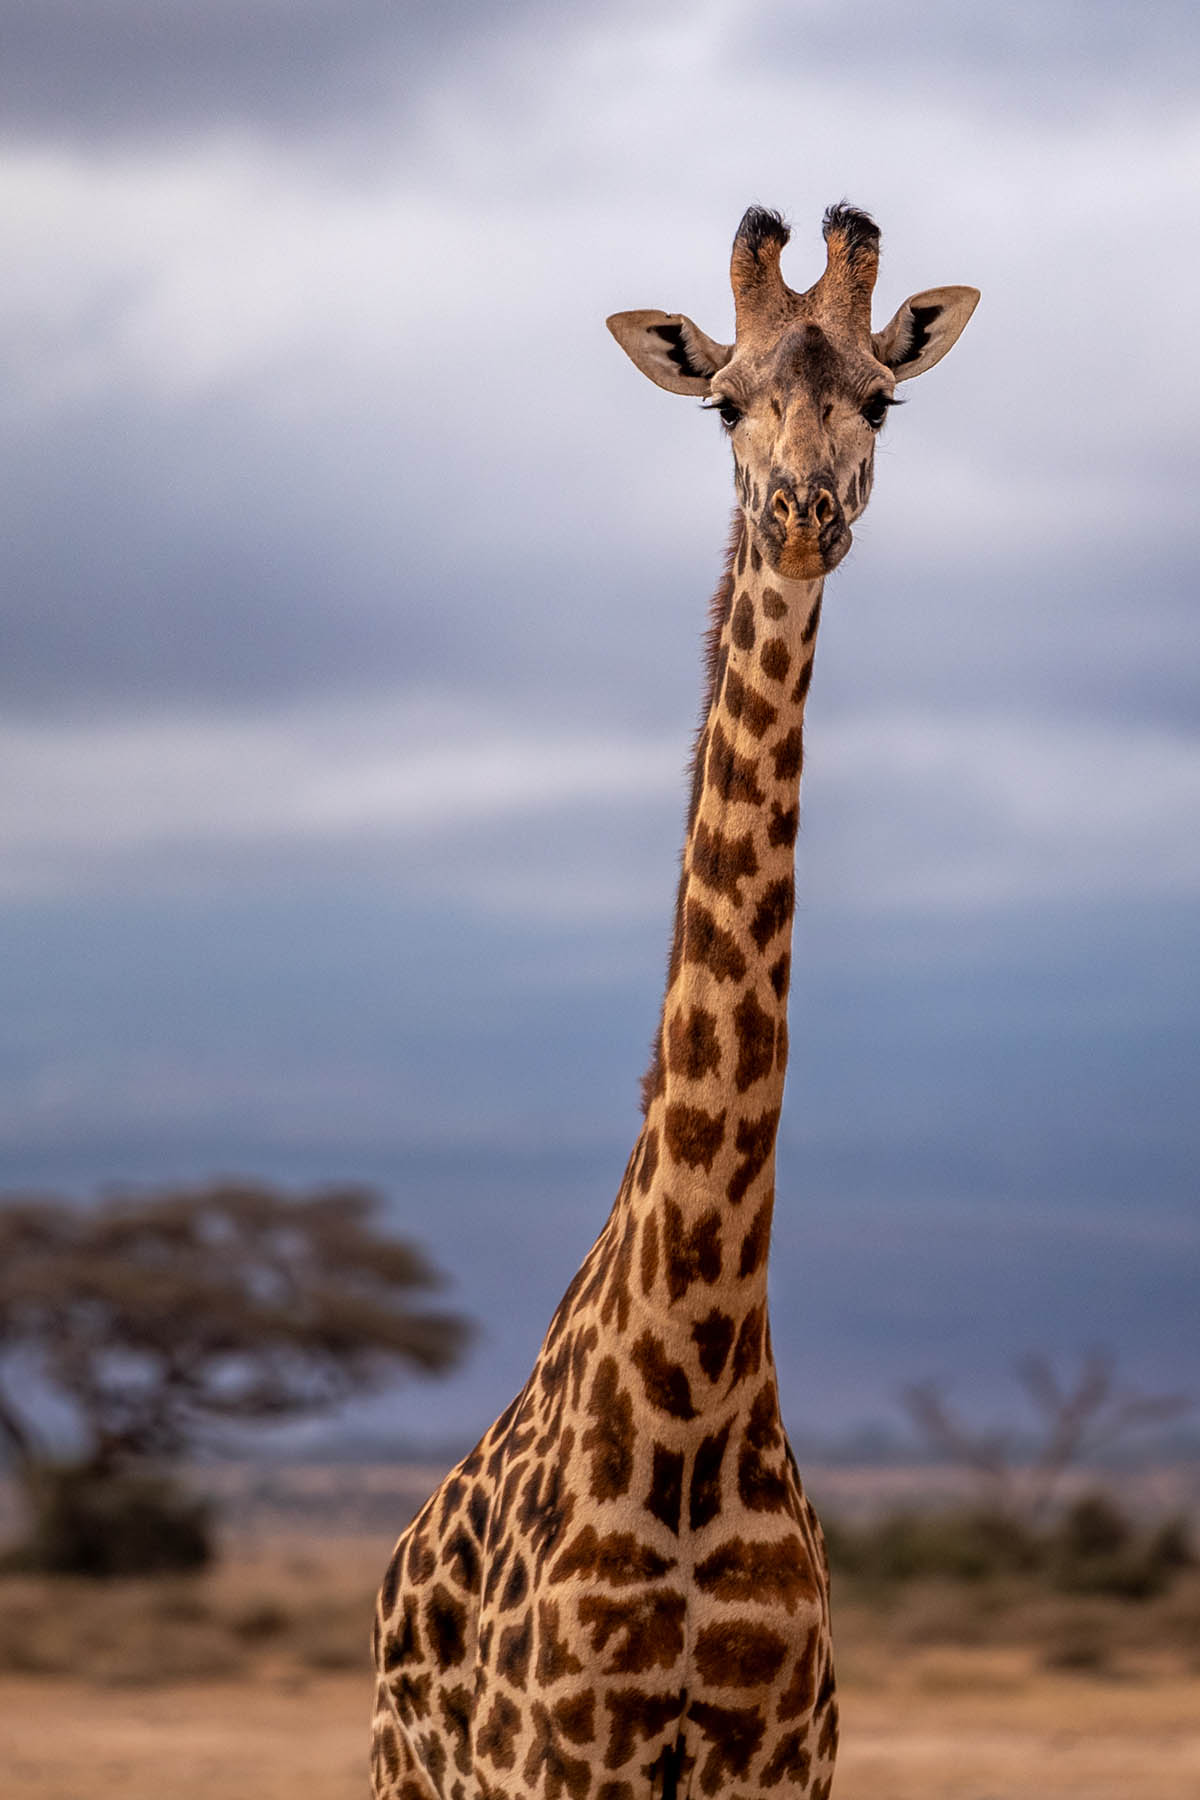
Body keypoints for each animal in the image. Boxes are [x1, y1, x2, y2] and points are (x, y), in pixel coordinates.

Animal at [371, 203, 978, 1800]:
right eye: (723, 402)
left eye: (881, 399)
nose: (805, 513)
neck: (696, 1385)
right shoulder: (556, 1761)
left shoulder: (783, 1763)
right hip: (408, 1772)